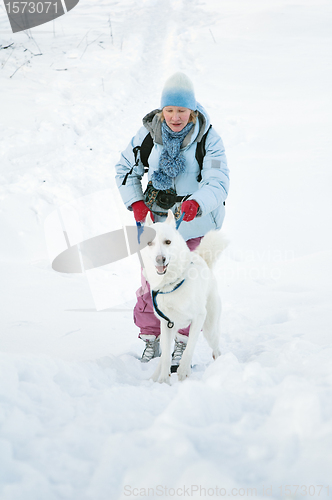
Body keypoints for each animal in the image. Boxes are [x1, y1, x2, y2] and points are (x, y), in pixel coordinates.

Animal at [140, 209, 228, 384]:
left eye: (168, 242)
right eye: (150, 243)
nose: (160, 259)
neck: (171, 284)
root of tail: (204, 261)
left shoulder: (198, 318)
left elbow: (189, 347)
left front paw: (183, 371)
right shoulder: (166, 324)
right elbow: (166, 357)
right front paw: (163, 382)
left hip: (210, 329)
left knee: (216, 349)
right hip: (169, 330)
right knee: (163, 356)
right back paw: (154, 378)